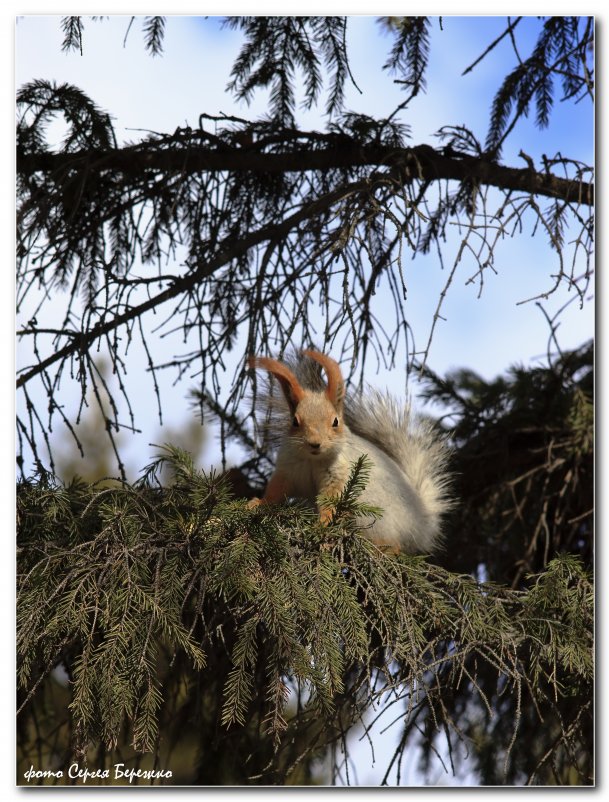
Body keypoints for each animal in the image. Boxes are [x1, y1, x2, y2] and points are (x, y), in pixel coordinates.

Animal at [247, 346, 452, 552]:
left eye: (335, 421)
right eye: (295, 422)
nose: (315, 443)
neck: (313, 460)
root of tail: (421, 523)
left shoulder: (338, 475)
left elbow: (331, 501)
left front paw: (324, 526)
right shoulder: (287, 471)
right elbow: (276, 492)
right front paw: (257, 503)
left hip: (378, 519)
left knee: (393, 545)